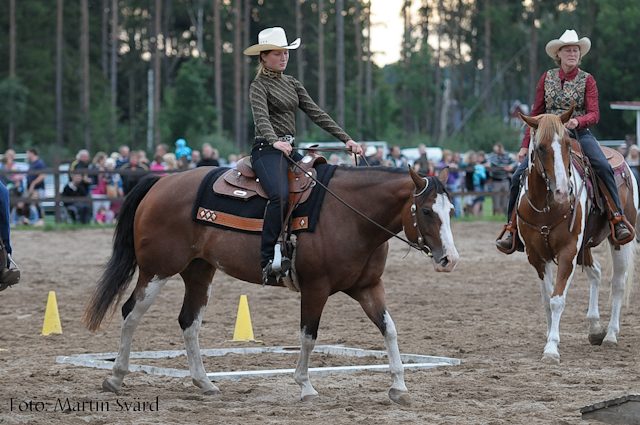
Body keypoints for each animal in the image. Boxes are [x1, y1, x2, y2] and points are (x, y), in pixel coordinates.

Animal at [82, 163, 458, 404]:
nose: (449, 259)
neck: (349, 214)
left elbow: (389, 330)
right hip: (156, 270)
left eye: (452, 209)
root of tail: (161, 182)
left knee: (189, 322)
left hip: (199, 271)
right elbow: (308, 336)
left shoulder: (369, 288)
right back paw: (115, 377)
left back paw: (205, 384)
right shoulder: (316, 288)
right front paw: (305, 387)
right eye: (426, 211)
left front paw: (399, 387)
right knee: (131, 313)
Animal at [516, 108, 636, 362]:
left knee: (618, 283)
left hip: (621, 241)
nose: (563, 191)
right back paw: (595, 329)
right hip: (585, 248)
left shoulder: (568, 252)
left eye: (566, 145)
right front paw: (549, 337)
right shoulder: (535, 256)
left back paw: (611, 334)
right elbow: (546, 299)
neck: (547, 206)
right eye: (540, 147)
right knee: (597, 273)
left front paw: (552, 348)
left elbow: (557, 299)